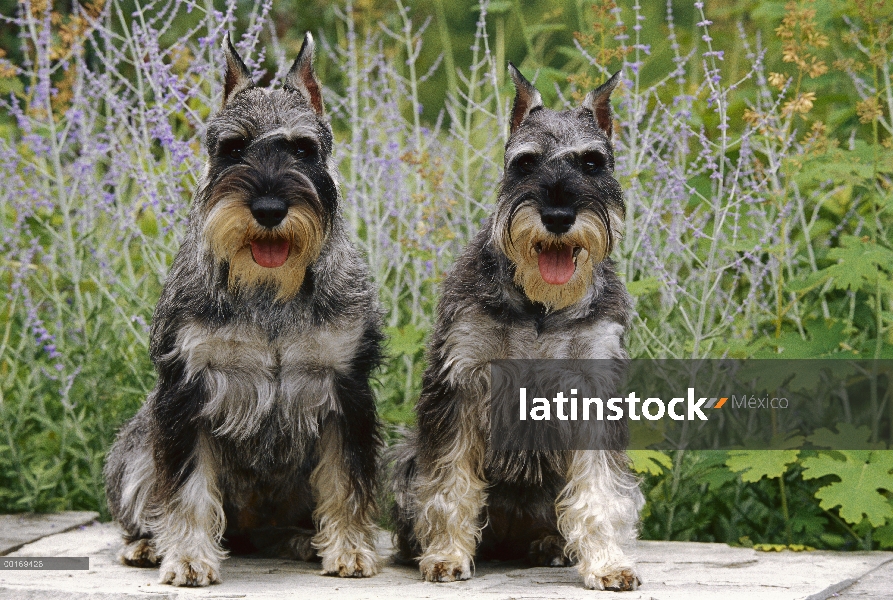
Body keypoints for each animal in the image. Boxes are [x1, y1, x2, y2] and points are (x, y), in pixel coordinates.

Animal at [104, 32, 384, 584]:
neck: (270, 291)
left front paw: (349, 551)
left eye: (303, 149)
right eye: (233, 147)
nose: (269, 209)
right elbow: (187, 489)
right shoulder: (188, 391)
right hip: (137, 446)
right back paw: (146, 544)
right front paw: (188, 558)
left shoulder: (345, 391)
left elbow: (346, 480)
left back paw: (302, 540)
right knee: (148, 499)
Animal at [390, 65, 640, 592]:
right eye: (524, 163)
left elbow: (600, 491)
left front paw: (607, 563)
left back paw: (552, 545)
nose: (559, 215)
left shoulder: (594, 386)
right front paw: (446, 555)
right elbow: (449, 484)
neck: (540, 307)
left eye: (593, 163)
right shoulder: (461, 382)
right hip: (405, 460)